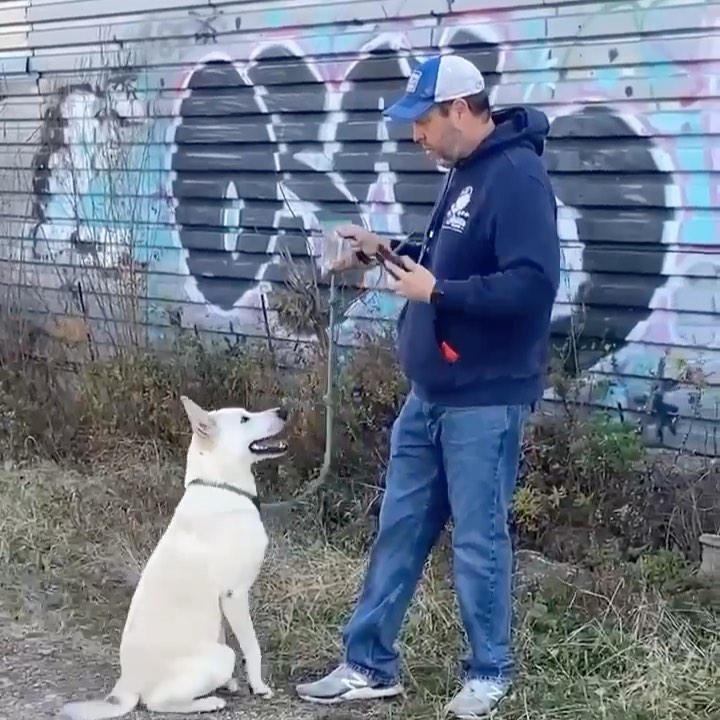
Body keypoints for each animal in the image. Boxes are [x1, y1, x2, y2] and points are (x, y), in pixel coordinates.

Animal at [59, 396, 290, 716]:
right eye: (244, 419)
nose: (285, 411)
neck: (221, 487)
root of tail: (126, 686)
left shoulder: (220, 605)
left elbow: (222, 632)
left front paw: (231, 684)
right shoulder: (235, 594)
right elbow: (252, 648)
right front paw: (259, 687)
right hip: (221, 656)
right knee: (156, 702)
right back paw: (209, 702)